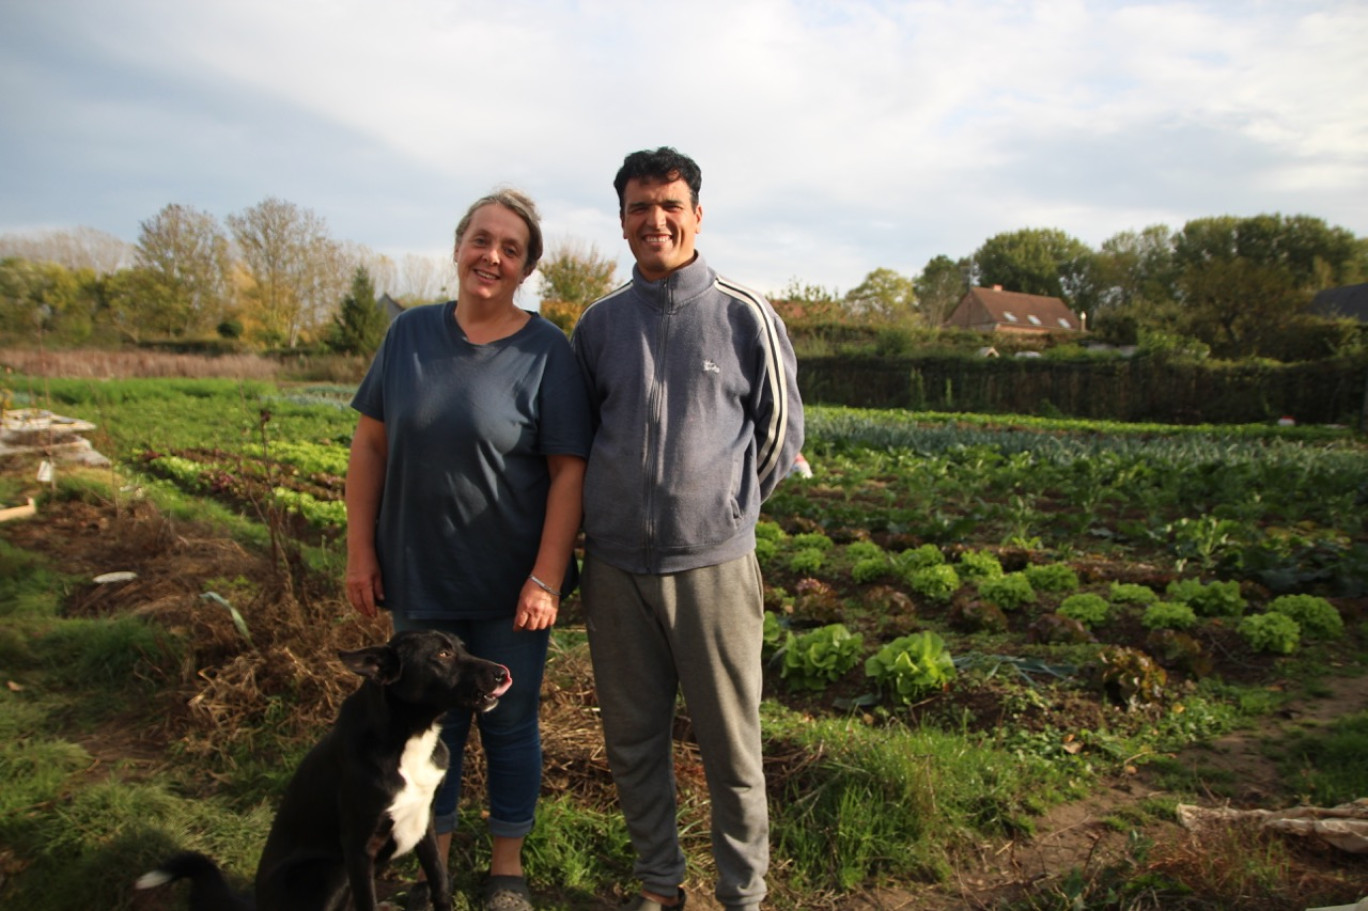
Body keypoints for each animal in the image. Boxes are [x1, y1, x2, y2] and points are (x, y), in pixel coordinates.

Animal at [136, 631, 511, 908]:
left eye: (463, 648)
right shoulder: (357, 847)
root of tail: (257, 904)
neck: (411, 736)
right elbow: (367, 904)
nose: (503, 672)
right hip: (331, 872)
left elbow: (440, 885)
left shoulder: (425, 823)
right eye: (443, 655)